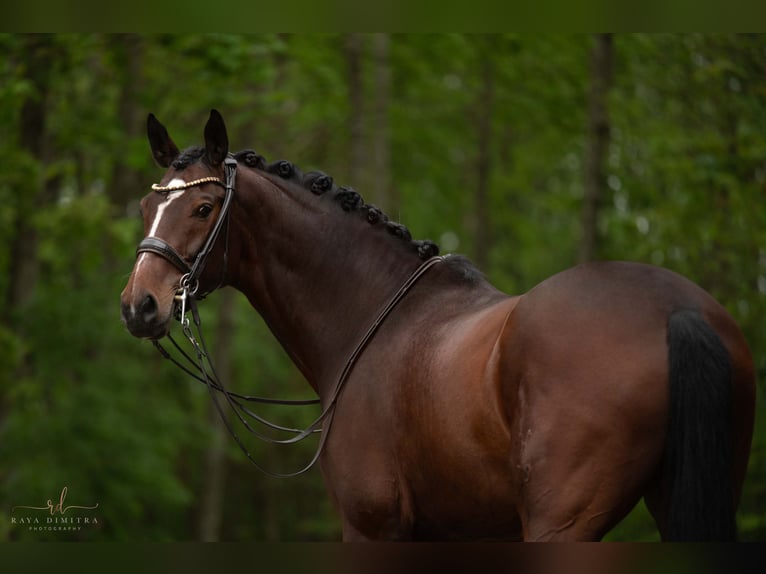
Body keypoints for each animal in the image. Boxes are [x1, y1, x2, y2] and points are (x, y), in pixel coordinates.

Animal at [120, 110, 756, 544]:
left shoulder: (372, 527)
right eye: (146, 208)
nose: (139, 306)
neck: (369, 314)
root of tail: (676, 311)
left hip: (560, 523)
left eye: (204, 209)